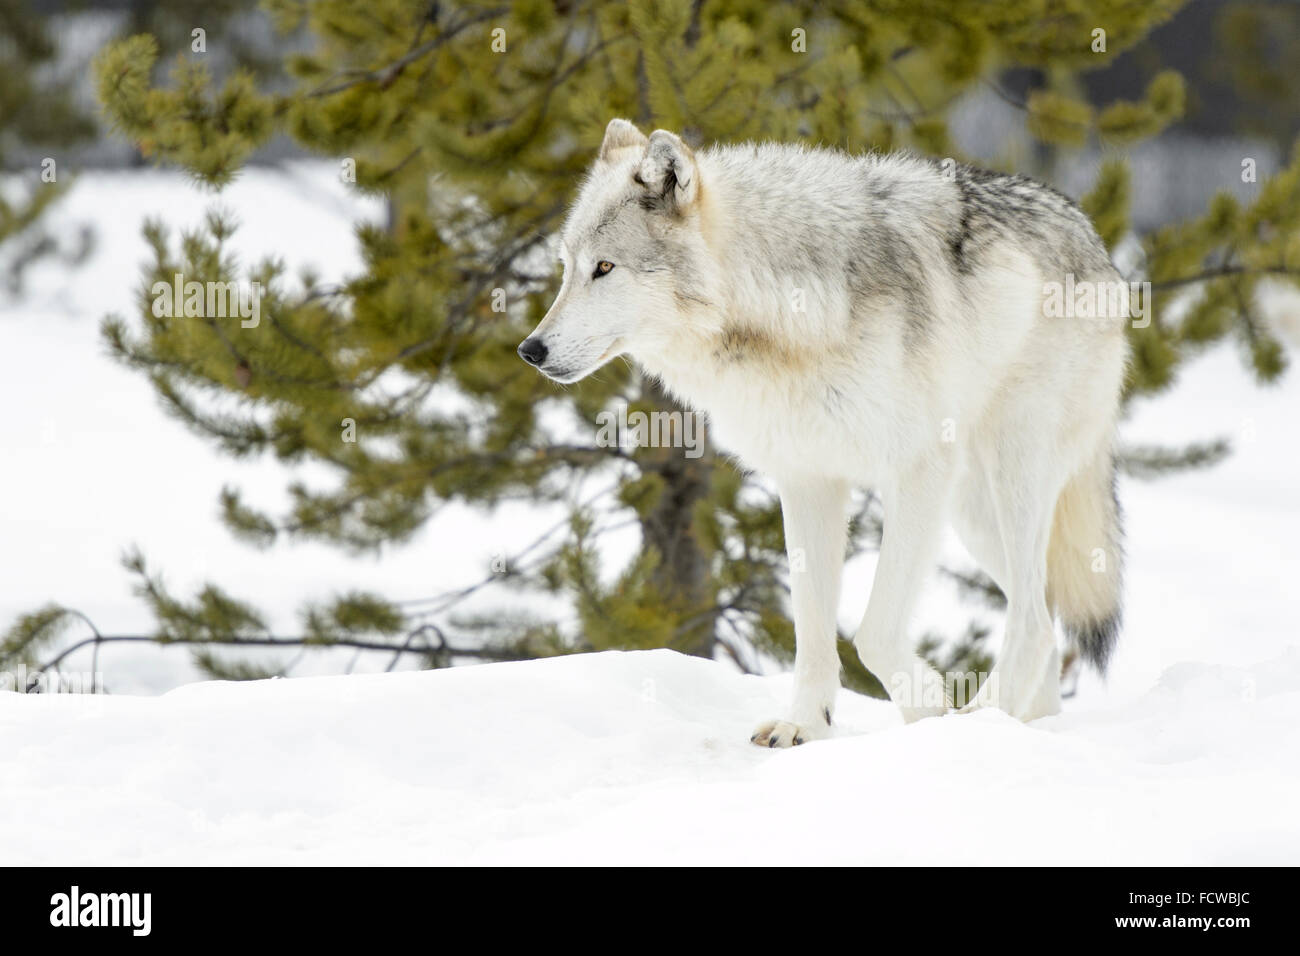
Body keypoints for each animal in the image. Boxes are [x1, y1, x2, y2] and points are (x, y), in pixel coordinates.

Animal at [519, 119, 1129, 746]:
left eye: (605, 268)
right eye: (567, 267)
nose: (530, 350)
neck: (786, 312)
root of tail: (1091, 235)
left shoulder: (915, 471)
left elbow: (874, 634)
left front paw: (927, 714)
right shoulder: (808, 480)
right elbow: (811, 632)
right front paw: (805, 727)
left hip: (1009, 473)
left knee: (1033, 620)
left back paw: (979, 724)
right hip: (972, 512)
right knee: (1045, 614)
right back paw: (1021, 727)